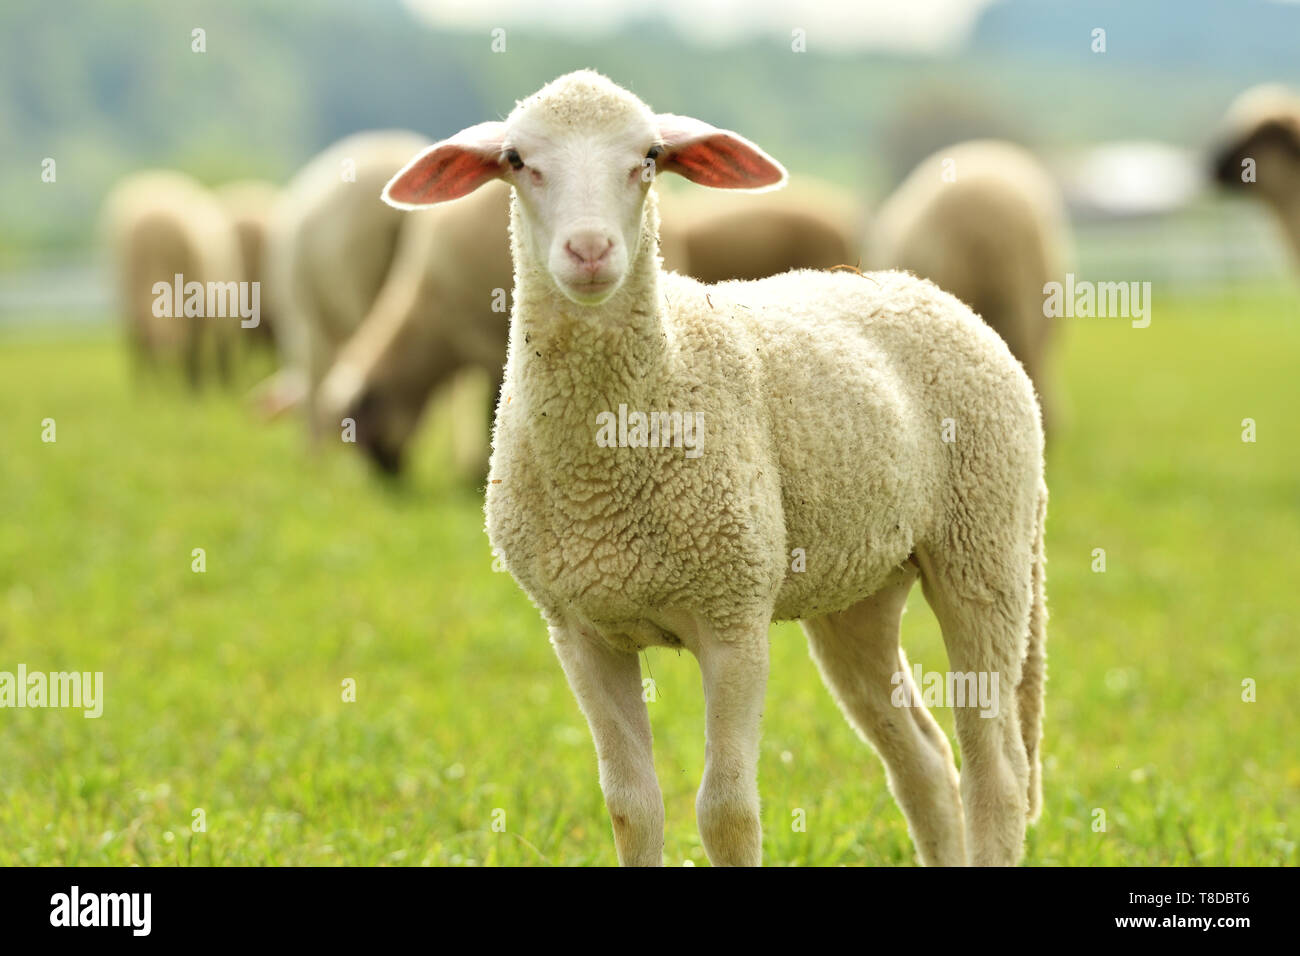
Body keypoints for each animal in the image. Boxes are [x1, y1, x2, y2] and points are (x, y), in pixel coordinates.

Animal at [383, 71, 1048, 867]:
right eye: (516, 160)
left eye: (649, 156)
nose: (589, 249)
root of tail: (923, 290)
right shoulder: (578, 629)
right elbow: (631, 807)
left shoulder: (733, 615)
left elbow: (727, 813)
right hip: (860, 588)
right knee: (922, 761)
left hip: (984, 546)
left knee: (997, 770)